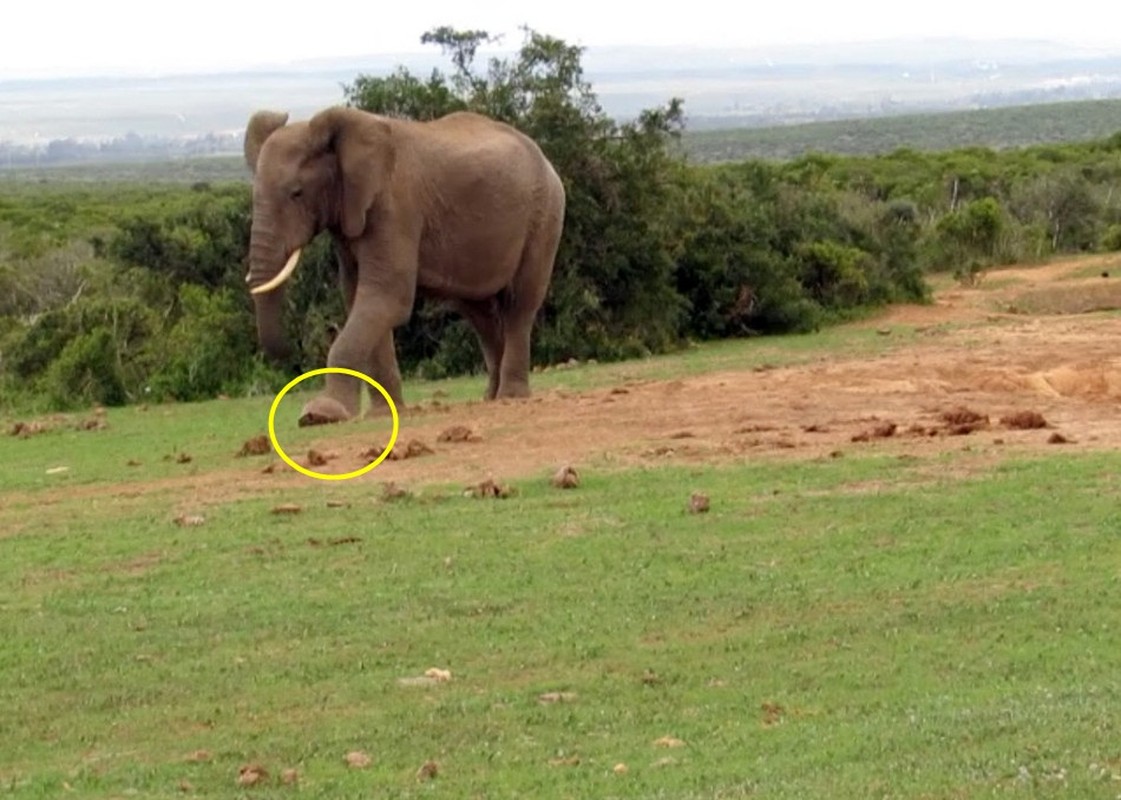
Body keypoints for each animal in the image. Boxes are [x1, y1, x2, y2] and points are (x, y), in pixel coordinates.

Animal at [241, 109, 564, 428]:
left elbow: (386, 298)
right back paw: (491, 398)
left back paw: (512, 397)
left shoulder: (394, 208)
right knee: (479, 313)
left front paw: (319, 415)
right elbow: (361, 299)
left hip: (545, 214)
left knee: (520, 305)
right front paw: (384, 413)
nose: (288, 351)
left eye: (296, 193)